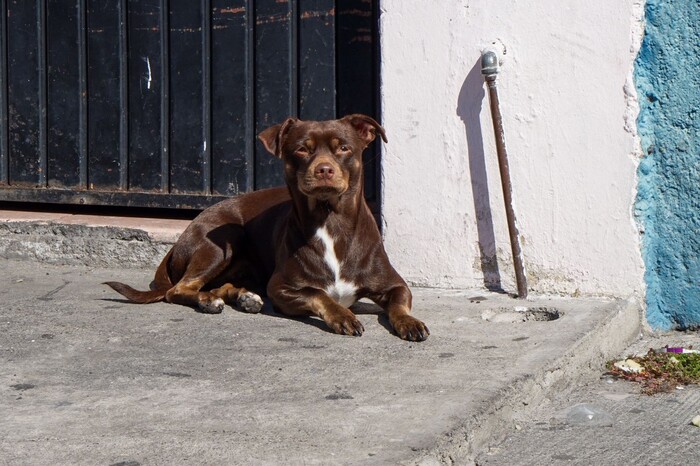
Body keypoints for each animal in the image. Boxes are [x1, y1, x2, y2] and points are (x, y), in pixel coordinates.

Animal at [106, 114, 430, 340]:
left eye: (344, 148)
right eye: (301, 150)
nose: (324, 169)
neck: (330, 221)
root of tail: (179, 240)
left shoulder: (395, 285)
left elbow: (399, 304)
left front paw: (410, 322)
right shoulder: (282, 288)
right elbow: (320, 295)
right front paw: (342, 315)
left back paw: (243, 297)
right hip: (225, 239)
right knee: (179, 289)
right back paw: (208, 300)